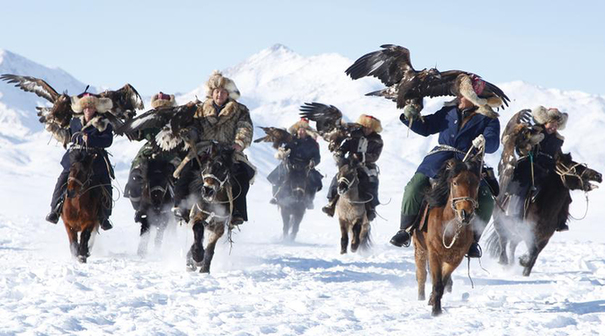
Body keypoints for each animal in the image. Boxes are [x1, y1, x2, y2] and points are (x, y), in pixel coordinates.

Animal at [412, 159, 478, 316]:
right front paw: (436, 310)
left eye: (477, 183)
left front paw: (434, 302)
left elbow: (443, 280)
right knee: (422, 274)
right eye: (455, 183)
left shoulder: (456, 259)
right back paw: (421, 297)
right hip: (420, 249)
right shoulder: (434, 254)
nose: (466, 214)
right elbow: (436, 282)